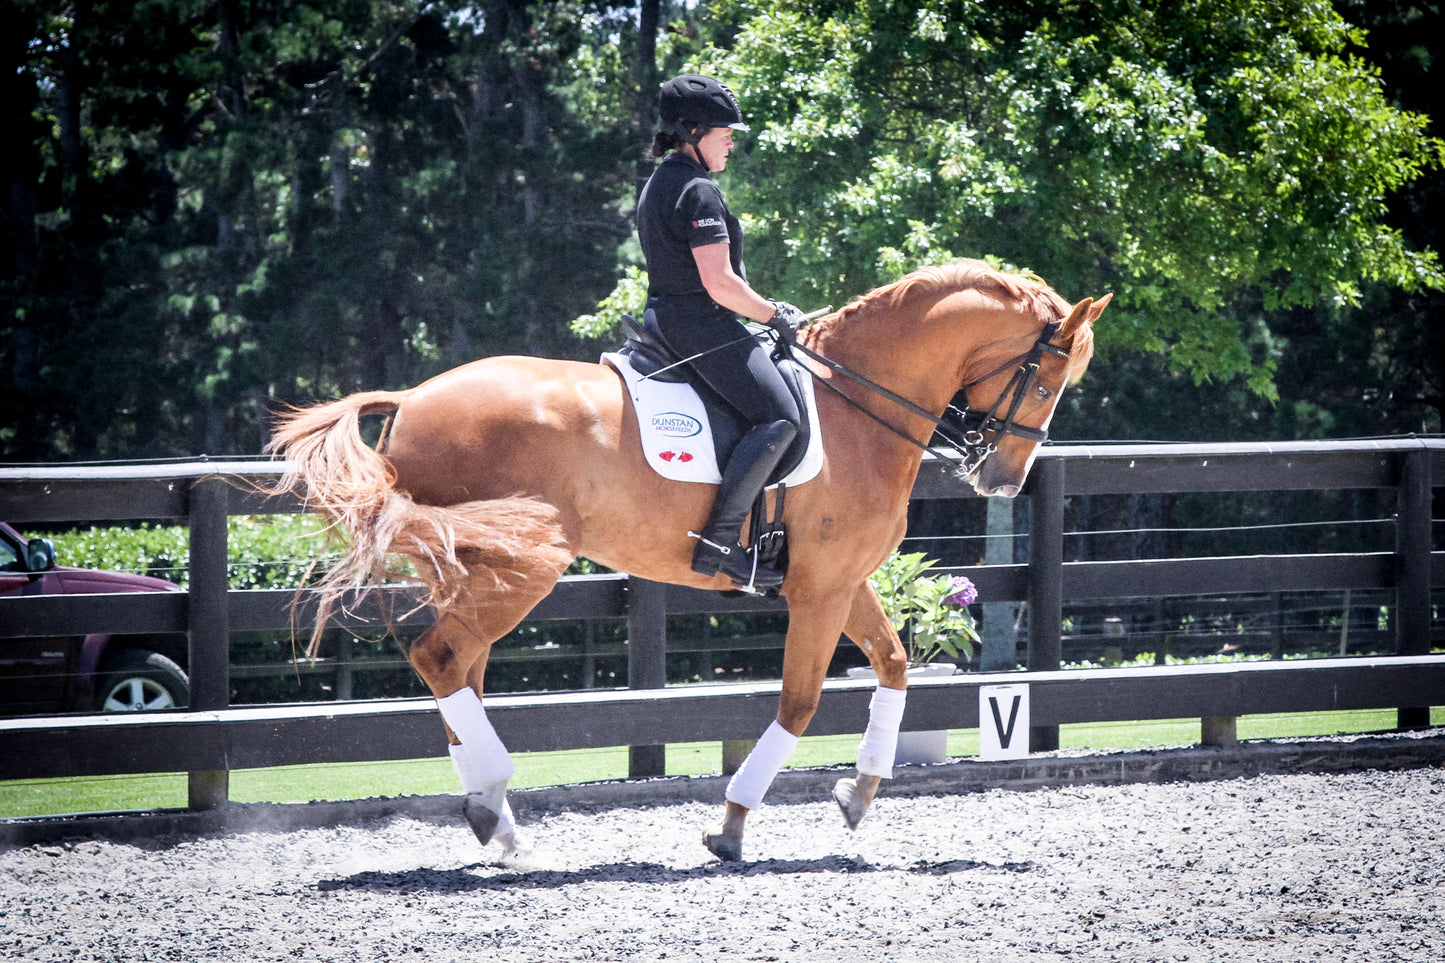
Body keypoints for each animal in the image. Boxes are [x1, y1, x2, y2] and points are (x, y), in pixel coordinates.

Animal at [268, 258, 1103, 856]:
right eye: (1047, 381)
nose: (1002, 479)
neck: (858, 404)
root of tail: (411, 399)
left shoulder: (840, 578)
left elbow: (894, 664)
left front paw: (858, 793)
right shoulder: (819, 587)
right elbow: (799, 702)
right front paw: (731, 824)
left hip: (477, 569)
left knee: (458, 670)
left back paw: (490, 814)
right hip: (526, 564)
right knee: (441, 657)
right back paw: (497, 806)